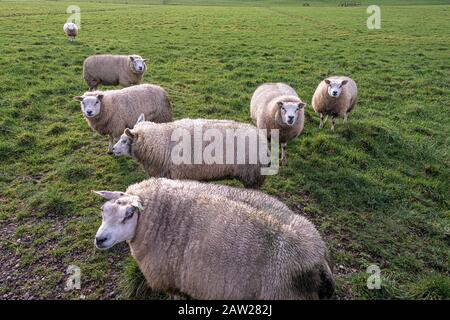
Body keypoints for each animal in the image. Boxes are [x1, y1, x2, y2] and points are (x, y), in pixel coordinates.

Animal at [112, 117, 268, 188]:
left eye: (124, 140)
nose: (112, 150)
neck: (162, 143)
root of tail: (261, 136)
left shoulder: (179, 174)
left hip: (252, 175)